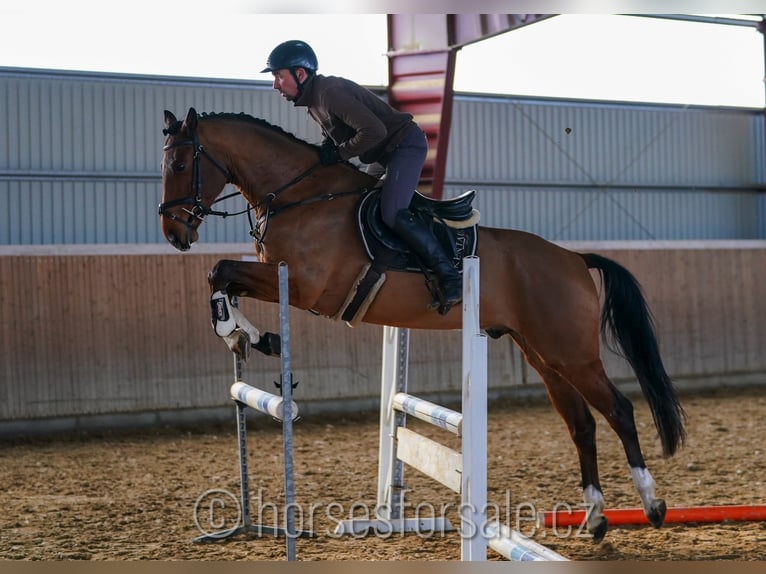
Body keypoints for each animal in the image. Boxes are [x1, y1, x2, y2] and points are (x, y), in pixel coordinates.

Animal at [159, 107, 688, 544]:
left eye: (181, 165)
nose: (174, 232)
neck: (300, 195)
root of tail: (574, 258)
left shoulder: (306, 287)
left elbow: (221, 270)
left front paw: (240, 331)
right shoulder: (278, 276)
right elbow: (222, 276)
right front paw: (247, 335)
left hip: (572, 353)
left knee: (619, 411)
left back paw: (653, 506)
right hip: (543, 354)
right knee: (581, 424)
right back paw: (596, 519)